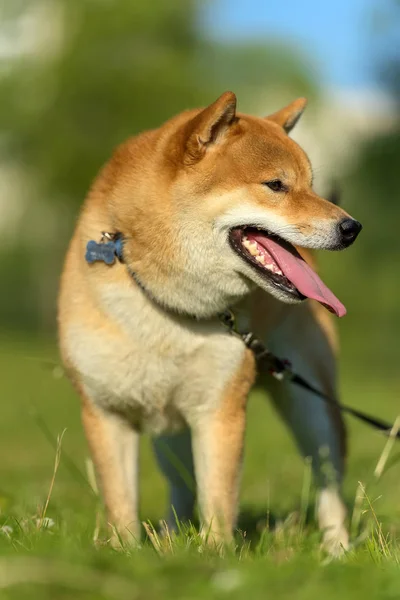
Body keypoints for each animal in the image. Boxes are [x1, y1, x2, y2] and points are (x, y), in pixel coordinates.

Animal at [57, 91, 360, 556]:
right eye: (276, 185)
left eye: (310, 185)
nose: (351, 227)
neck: (167, 308)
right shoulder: (107, 412)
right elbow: (121, 501)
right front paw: (128, 553)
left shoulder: (219, 409)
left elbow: (218, 497)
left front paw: (214, 555)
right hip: (170, 431)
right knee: (181, 485)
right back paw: (169, 535)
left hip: (312, 408)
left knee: (329, 486)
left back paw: (336, 551)